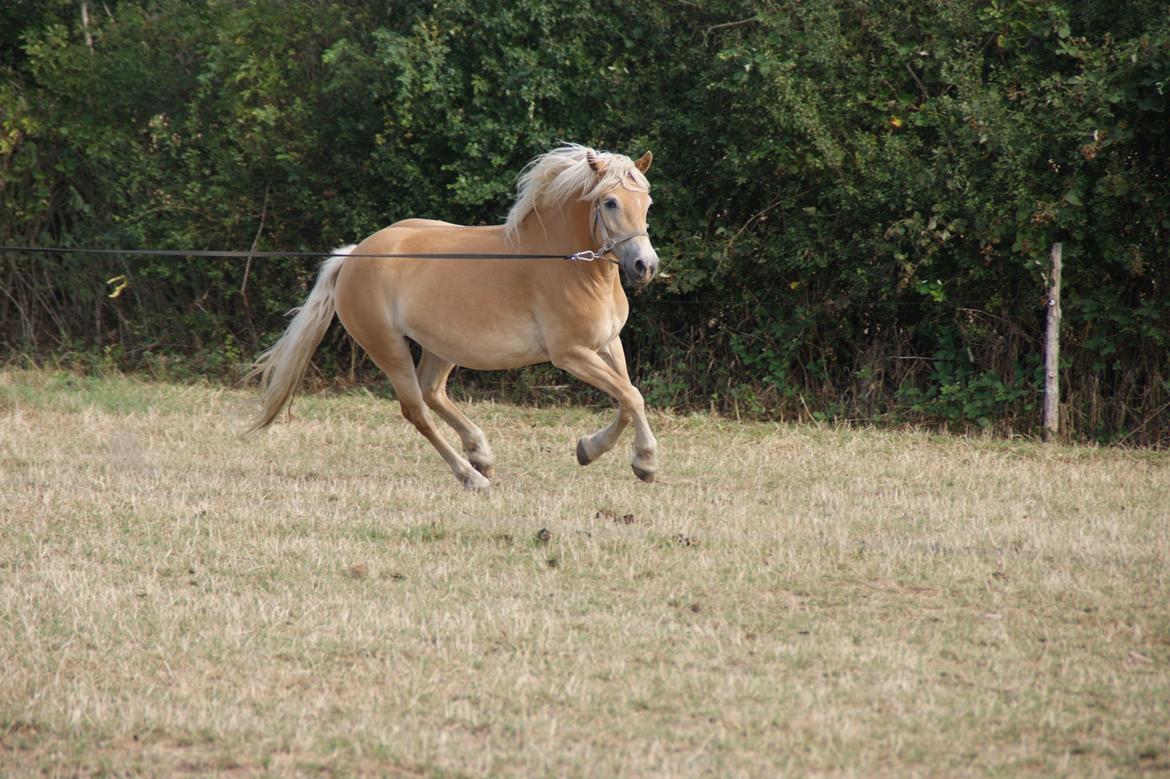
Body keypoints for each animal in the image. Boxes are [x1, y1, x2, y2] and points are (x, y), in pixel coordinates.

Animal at [249, 142, 659, 488]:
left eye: (648, 202)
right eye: (609, 202)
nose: (646, 266)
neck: (570, 265)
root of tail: (354, 256)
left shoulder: (607, 344)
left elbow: (627, 397)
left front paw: (591, 450)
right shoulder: (571, 353)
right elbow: (631, 395)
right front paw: (645, 462)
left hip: (441, 345)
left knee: (432, 392)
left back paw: (480, 453)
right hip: (388, 348)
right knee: (416, 410)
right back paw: (471, 475)